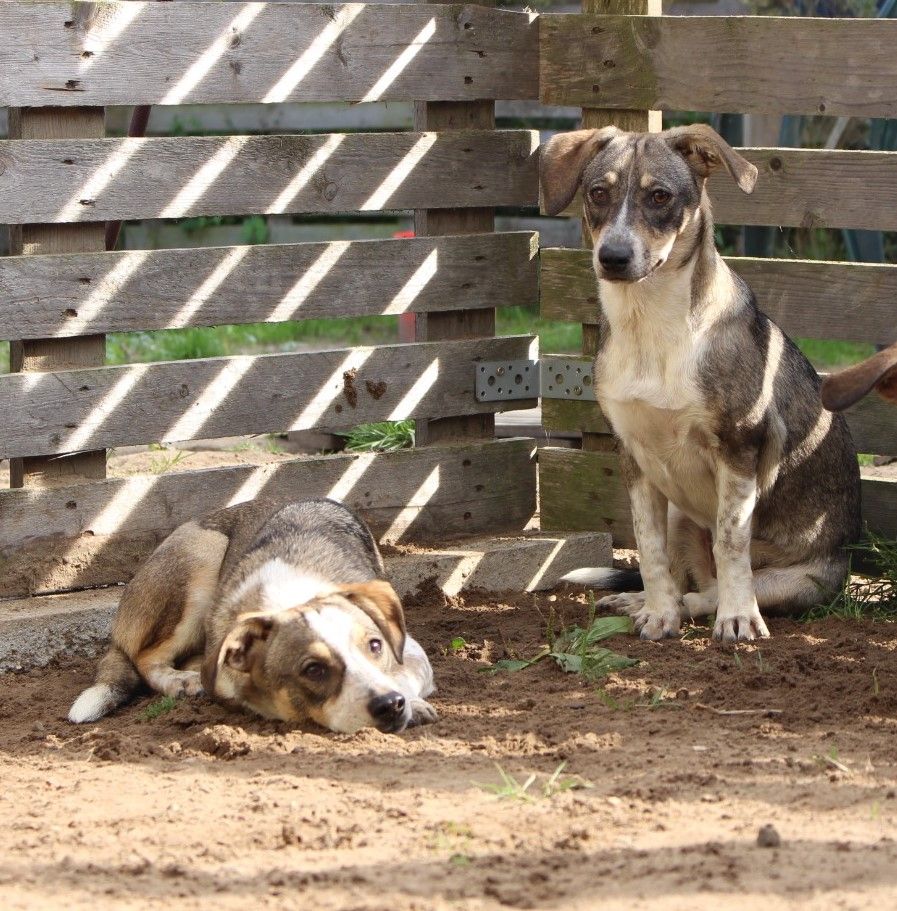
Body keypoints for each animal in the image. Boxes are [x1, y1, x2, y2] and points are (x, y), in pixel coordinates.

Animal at [68, 498, 436, 732]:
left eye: (375, 646)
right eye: (313, 670)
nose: (391, 706)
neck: (290, 599)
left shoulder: (410, 652)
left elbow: (403, 673)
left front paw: (413, 704)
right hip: (203, 555)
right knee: (145, 658)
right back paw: (181, 682)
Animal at [540, 124, 860, 644]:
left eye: (660, 196)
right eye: (598, 193)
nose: (613, 258)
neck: (650, 327)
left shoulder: (739, 446)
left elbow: (731, 542)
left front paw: (738, 620)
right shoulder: (635, 455)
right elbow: (648, 547)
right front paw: (656, 613)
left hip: (796, 581)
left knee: (707, 593)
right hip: (677, 508)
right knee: (681, 576)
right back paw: (639, 603)